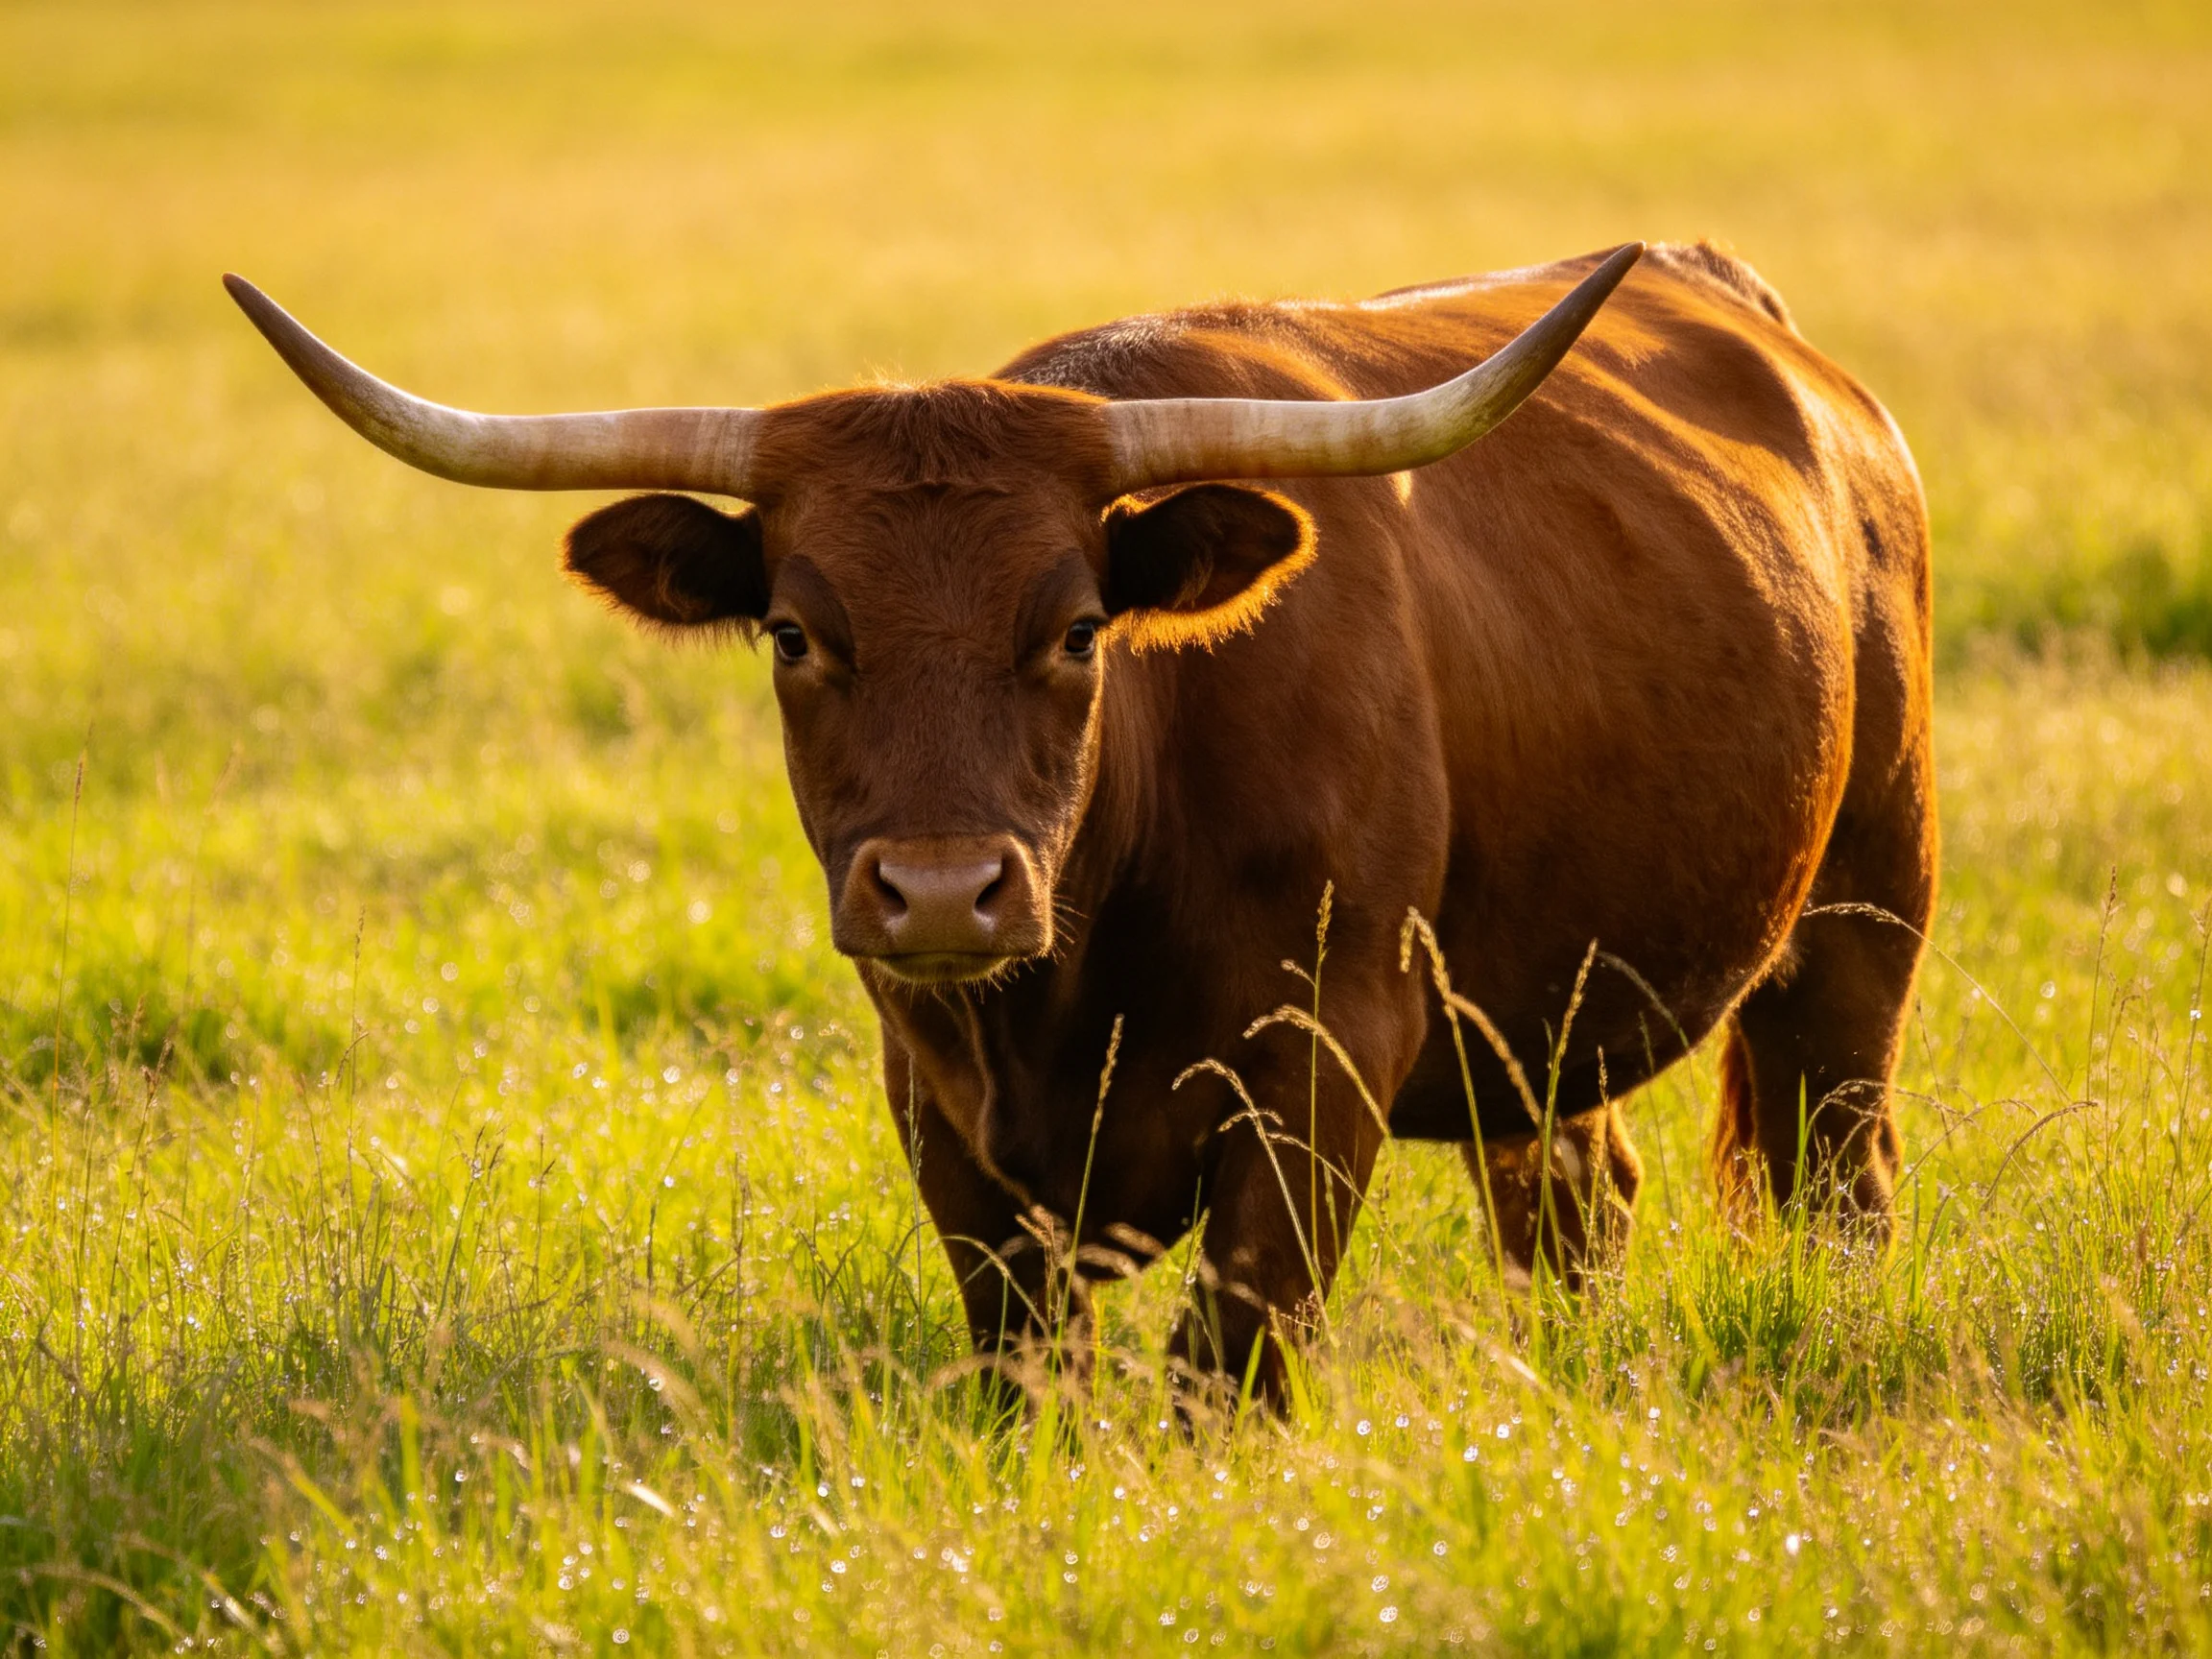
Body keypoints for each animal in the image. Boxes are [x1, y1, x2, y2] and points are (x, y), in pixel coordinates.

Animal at [225, 240, 1936, 1400]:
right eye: (792, 633)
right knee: (1575, 1202)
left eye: (1075, 630)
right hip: (1536, 1010)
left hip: (1862, 913)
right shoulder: (942, 1114)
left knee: (1839, 1179)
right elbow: (1028, 1378)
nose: (938, 894)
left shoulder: (1325, 1068)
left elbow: (1223, 1376)